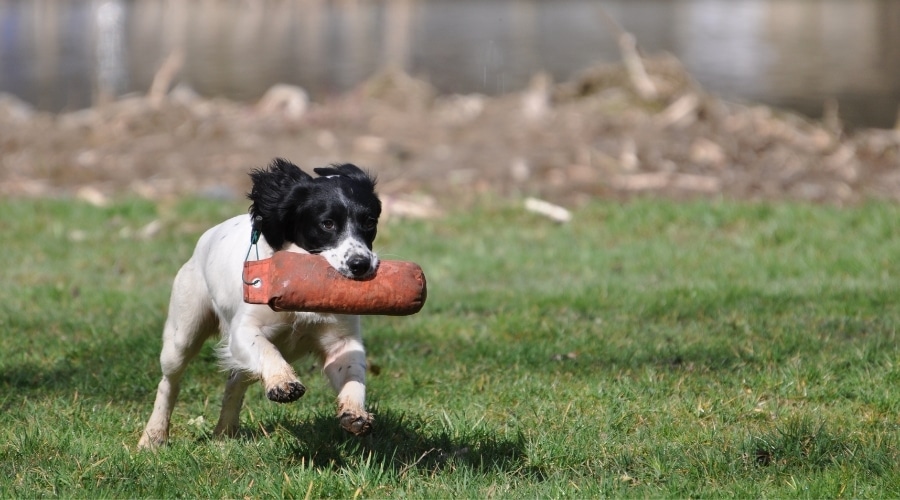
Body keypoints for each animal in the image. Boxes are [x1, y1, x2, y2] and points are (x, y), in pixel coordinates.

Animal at [137, 158, 380, 448]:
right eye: (327, 223)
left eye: (370, 221)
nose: (361, 264)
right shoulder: (244, 330)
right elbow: (265, 349)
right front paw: (283, 382)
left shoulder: (341, 339)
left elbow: (352, 372)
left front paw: (355, 413)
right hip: (182, 334)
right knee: (170, 381)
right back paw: (153, 437)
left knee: (235, 380)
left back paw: (225, 432)